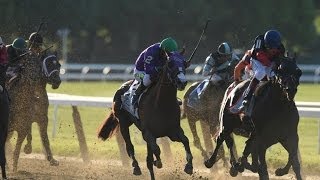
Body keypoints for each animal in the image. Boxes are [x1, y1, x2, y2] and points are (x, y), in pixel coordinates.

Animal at [98, 51, 192, 180]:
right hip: (123, 123)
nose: (182, 82)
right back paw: (136, 167)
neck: (162, 104)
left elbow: (186, 141)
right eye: (170, 64)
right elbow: (156, 150)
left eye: (184, 63)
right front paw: (157, 162)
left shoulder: (173, 131)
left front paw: (189, 166)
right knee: (130, 147)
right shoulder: (147, 133)